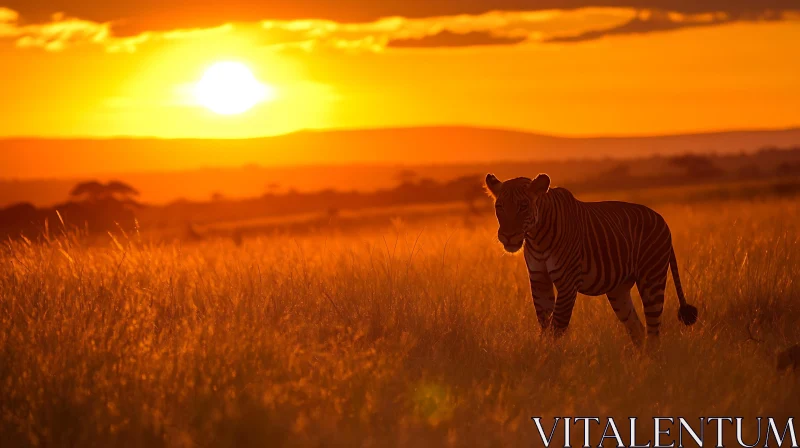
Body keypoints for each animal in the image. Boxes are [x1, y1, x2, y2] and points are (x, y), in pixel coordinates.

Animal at [484, 173, 696, 344]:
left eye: (523, 206)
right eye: (499, 206)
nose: (508, 236)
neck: (537, 238)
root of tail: (662, 220)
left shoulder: (568, 282)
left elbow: (556, 327)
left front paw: (548, 359)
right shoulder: (539, 280)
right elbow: (544, 323)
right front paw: (542, 356)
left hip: (652, 280)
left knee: (653, 333)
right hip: (619, 290)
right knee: (638, 329)